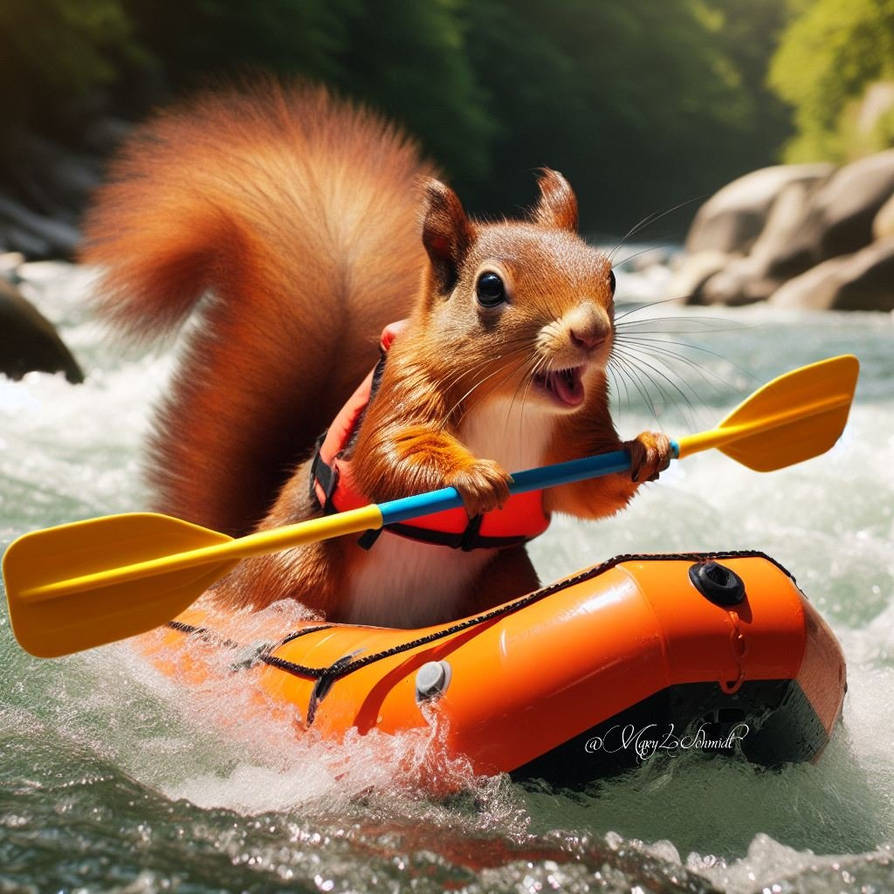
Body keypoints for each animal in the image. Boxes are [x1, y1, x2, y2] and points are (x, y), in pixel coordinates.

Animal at [82, 80, 672, 629]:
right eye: (488, 288)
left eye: (610, 276)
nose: (591, 332)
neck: (516, 406)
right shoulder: (405, 388)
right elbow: (390, 456)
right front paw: (475, 476)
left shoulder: (576, 430)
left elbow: (585, 491)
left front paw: (643, 448)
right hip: (296, 568)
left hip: (503, 575)